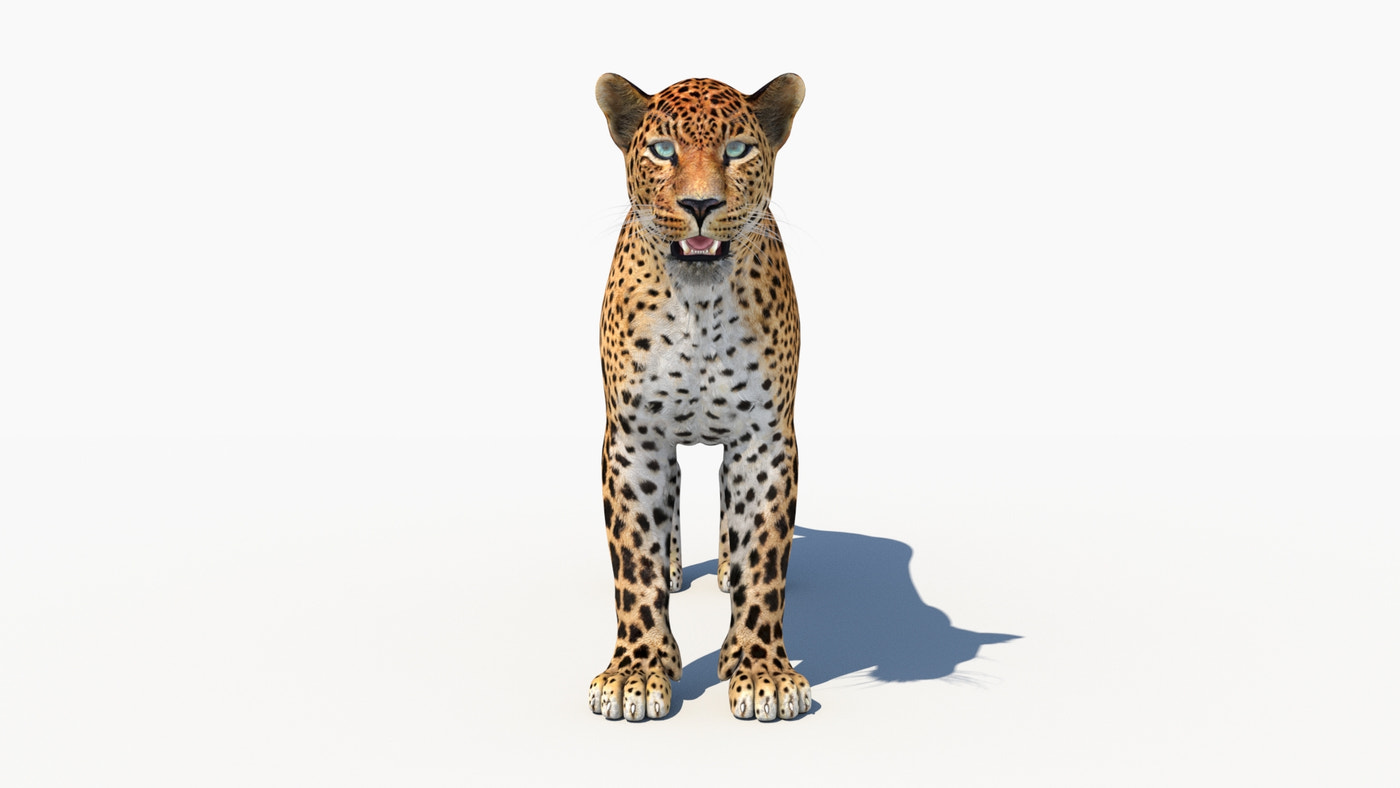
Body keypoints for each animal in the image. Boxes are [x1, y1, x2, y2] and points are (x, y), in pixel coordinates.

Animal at [587, 73, 811, 722]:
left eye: (737, 150)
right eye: (664, 151)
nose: (701, 206)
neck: (700, 303)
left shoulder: (764, 439)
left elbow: (764, 555)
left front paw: (763, 672)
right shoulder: (634, 438)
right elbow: (634, 557)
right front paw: (635, 672)